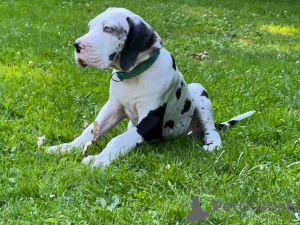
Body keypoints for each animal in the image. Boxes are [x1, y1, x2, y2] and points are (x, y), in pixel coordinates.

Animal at [46, 7, 253, 167]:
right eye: (90, 27)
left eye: (108, 29)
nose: (77, 45)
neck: (132, 77)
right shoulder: (113, 107)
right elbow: (90, 130)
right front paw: (65, 148)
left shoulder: (151, 121)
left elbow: (119, 139)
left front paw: (99, 159)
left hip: (199, 93)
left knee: (212, 129)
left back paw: (212, 144)